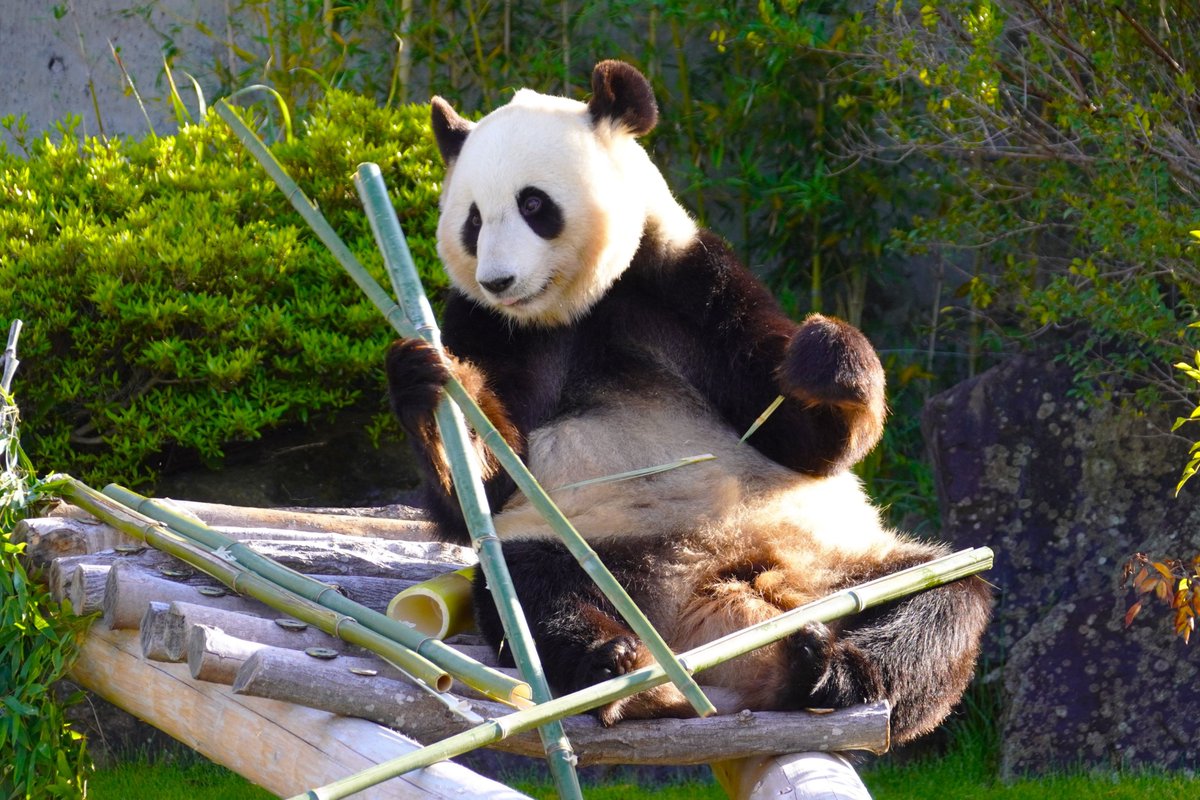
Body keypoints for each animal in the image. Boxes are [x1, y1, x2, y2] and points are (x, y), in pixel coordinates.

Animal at [386, 59, 992, 743]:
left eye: (533, 204)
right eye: (472, 220)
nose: (498, 280)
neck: (578, 304)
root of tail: (711, 604)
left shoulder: (691, 280)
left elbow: (803, 440)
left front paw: (825, 358)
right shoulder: (486, 326)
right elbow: (484, 491)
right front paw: (428, 383)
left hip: (847, 562)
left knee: (941, 600)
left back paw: (831, 666)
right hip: (589, 546)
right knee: (534, 590)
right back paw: (618, 667)